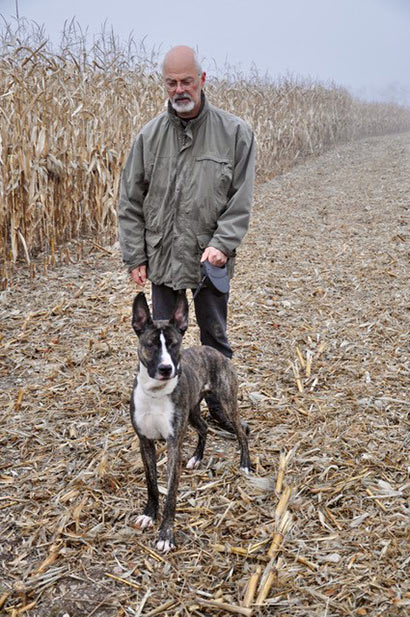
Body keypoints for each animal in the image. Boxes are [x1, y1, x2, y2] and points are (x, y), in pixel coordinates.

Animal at [129, 291, 251, 552]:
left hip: (227, 403)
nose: (166, 368)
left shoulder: (174, 444)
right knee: (203, 428)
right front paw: (149, 514)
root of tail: (213, 350)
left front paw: (166, 534)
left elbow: (171, 493)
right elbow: (152, 484)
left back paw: (245, 464)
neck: (156, 393)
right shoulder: (145, 441)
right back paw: (197, 458)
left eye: (174, 344)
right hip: (193, 411)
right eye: (151, 345)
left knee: (241, 433)